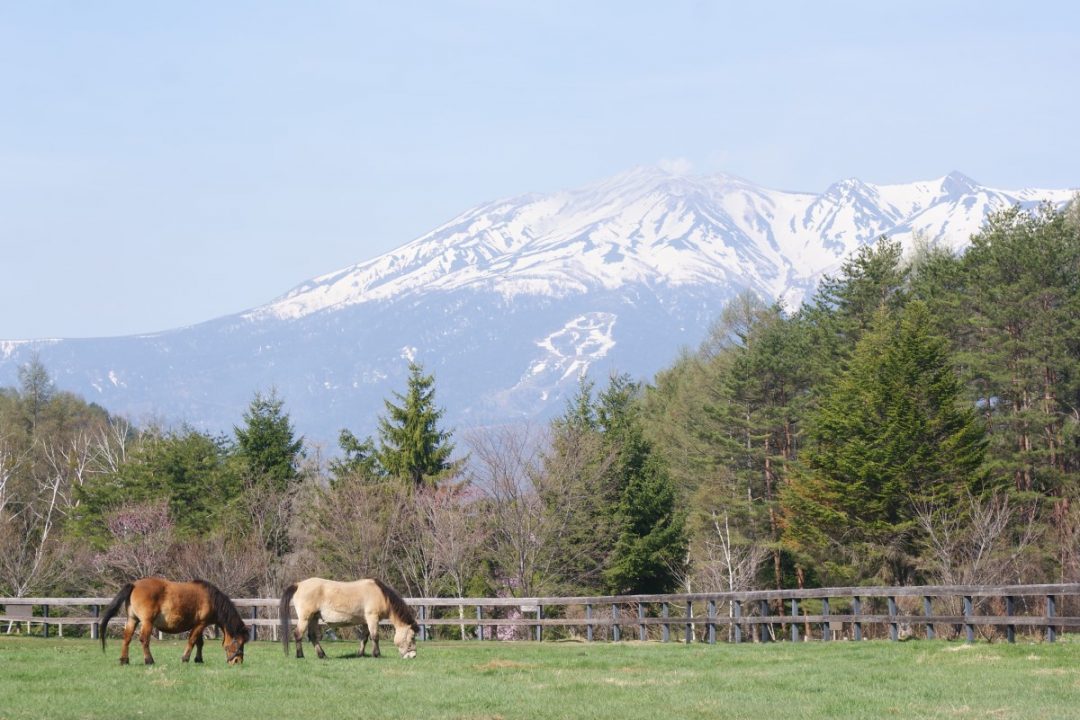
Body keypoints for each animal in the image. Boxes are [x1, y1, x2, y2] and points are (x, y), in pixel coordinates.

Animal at [97, 578, 248, 669]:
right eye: (238, 642)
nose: (237, 661)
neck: (211, 599)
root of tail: (134, 585)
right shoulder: (201, 624)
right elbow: (192, 641)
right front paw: (185, 659)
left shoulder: (199, 624)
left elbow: (199, 643)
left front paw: (198, 659)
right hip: (147, 622)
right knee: (144, 640)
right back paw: (149, 660)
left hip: (132, 620)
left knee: (127, 638)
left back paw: (124, 660)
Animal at [280, 578, 419, 660]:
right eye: (412, 637)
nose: (413, 655)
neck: (381, 594)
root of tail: (298, 585)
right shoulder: (372, 618)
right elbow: (375, 637)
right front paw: (377, 654)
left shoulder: (365, 622)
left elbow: (364, 638)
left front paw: (360, 654)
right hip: (305, 618)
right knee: (298, 634)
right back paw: (300, 655)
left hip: (313, 618)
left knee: (313, 636)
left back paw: (322, 655)